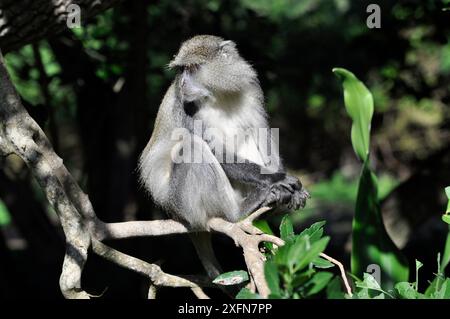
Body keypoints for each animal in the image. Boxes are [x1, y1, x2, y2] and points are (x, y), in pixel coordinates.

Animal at [139, 35, 312, 278]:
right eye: (181, 70)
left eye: (193, 68)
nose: (182, 84)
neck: (219, 94)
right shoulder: (186, 105)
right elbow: (212, 149)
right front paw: (277, 179)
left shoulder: (251, 88)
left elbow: (261, 131)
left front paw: (288, 187)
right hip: (181, 202)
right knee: (193, 147)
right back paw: (238, 213)